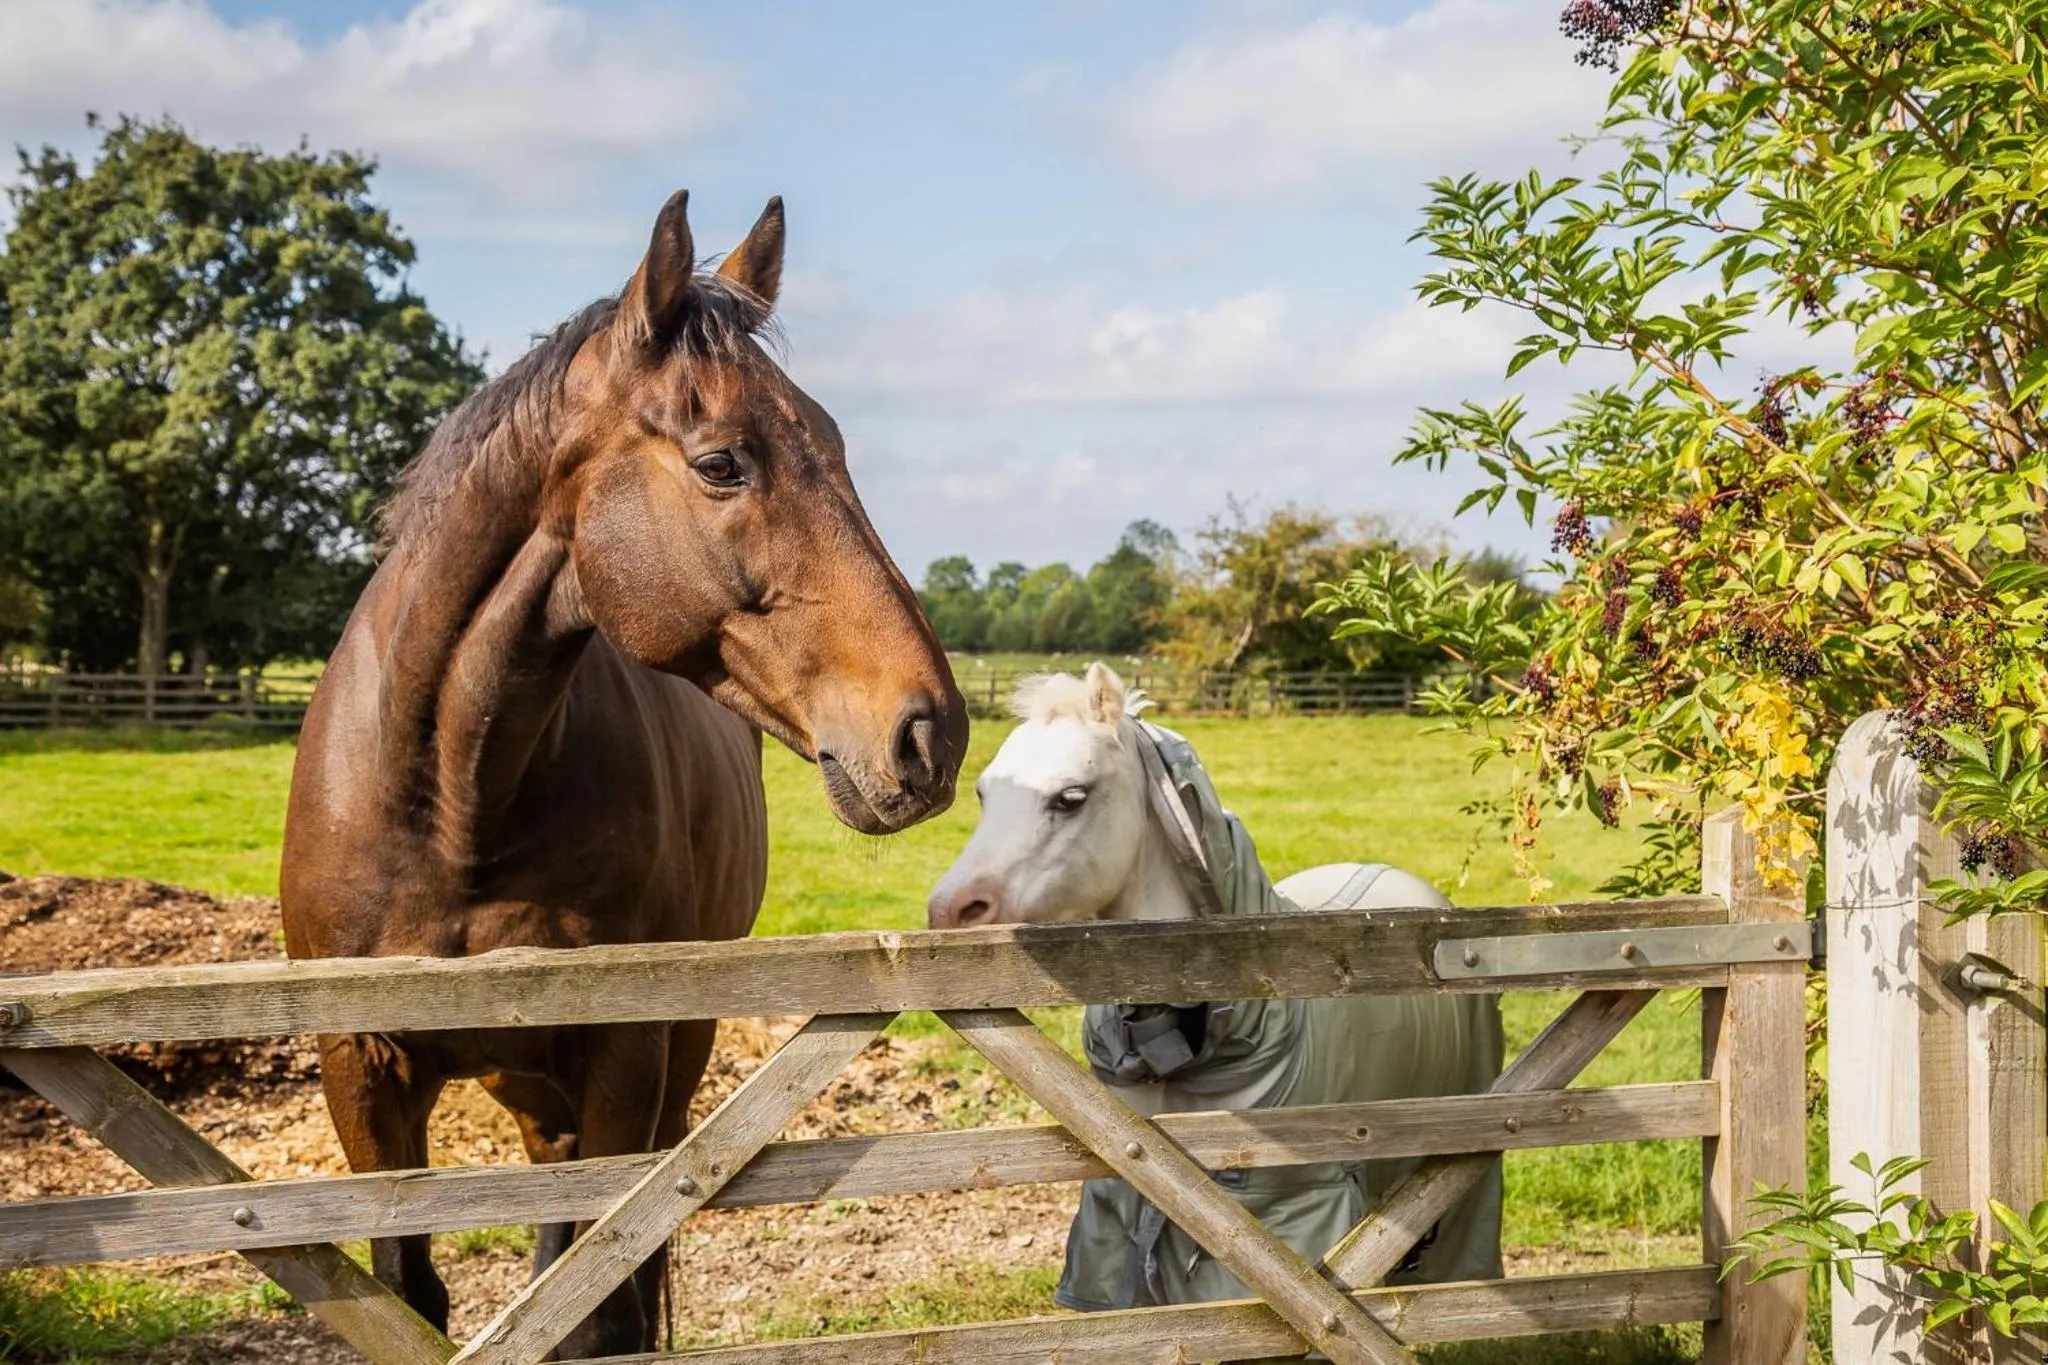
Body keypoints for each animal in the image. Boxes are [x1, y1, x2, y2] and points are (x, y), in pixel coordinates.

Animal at [280, 190, 968, 1357]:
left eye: (833, 440)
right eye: (723, 462)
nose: (932, 733)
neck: (451, 803)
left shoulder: (625, 1054)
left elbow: (600, 1307)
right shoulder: (361, 1070)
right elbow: (411, 1296)